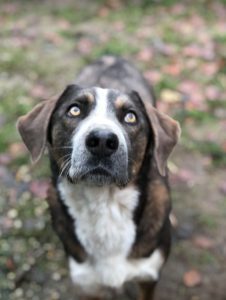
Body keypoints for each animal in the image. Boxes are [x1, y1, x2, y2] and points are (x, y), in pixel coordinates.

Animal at [16, 56, 181, 300]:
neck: (104, 203)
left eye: (131, 116)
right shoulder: (88, 283)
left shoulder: (148, 275)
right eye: (74, 110)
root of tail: (112, 57)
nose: (102, 141)